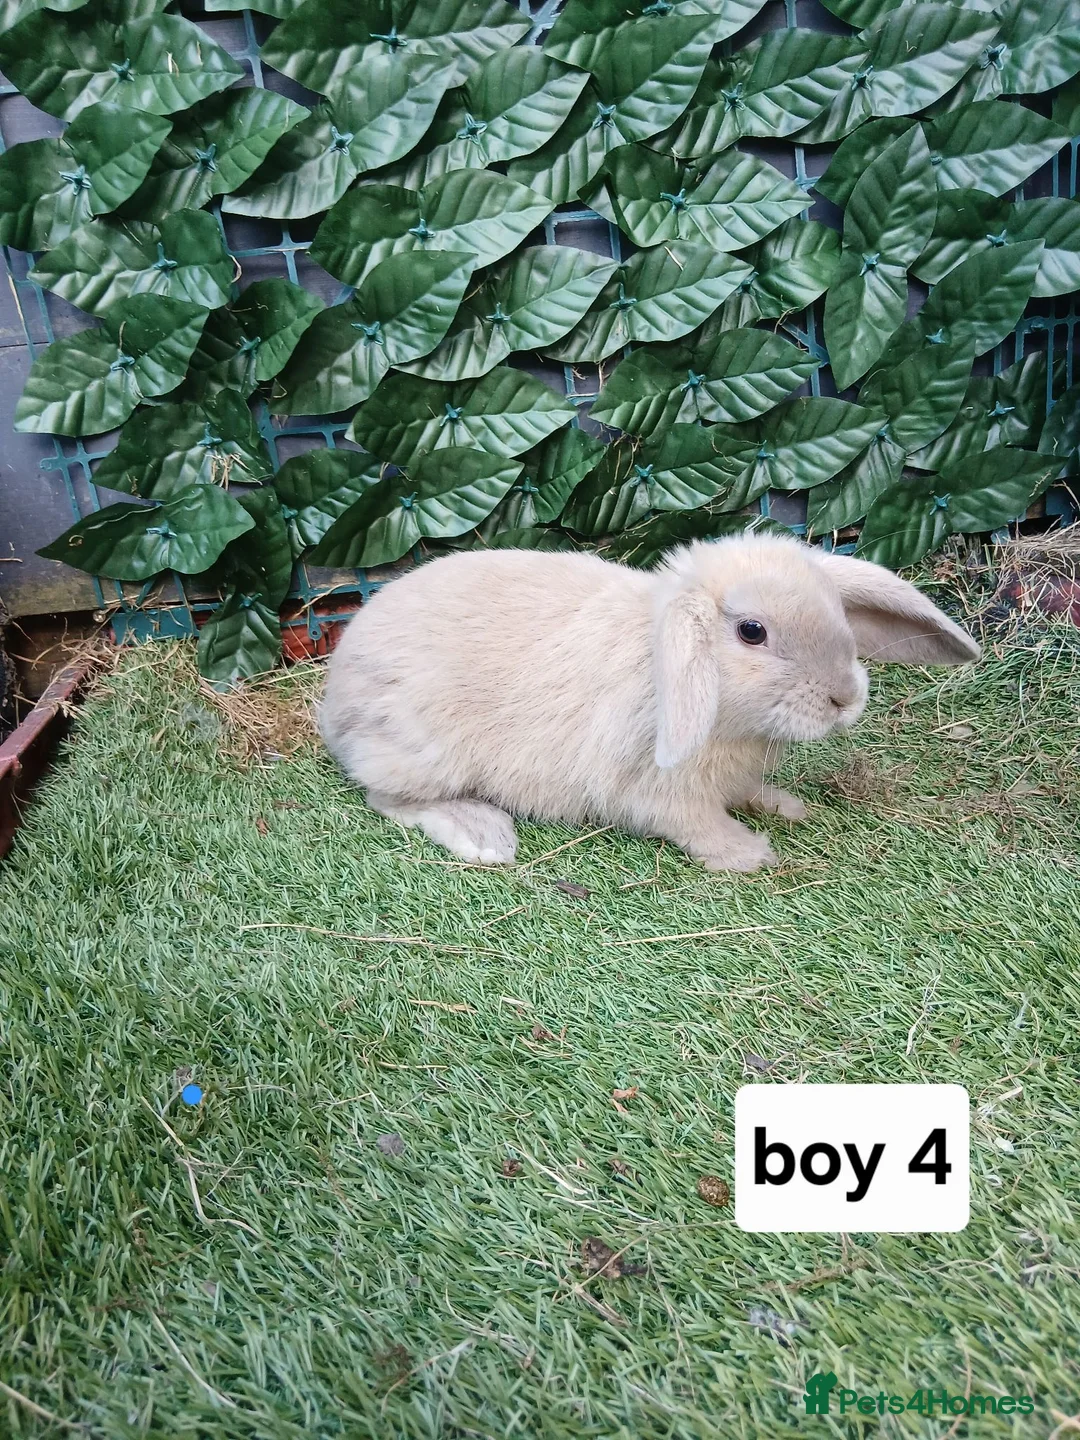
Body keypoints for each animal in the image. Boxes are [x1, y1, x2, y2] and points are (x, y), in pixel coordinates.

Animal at [318, 533, 979, 872]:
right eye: (752, 632)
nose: (845, 698)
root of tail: (332, 708)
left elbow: (748, 793)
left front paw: (787, 807)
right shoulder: (660, 793)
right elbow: (697, 824)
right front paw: (750, 852)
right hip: (423, 752)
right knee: (388, 797)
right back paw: (485, 836)